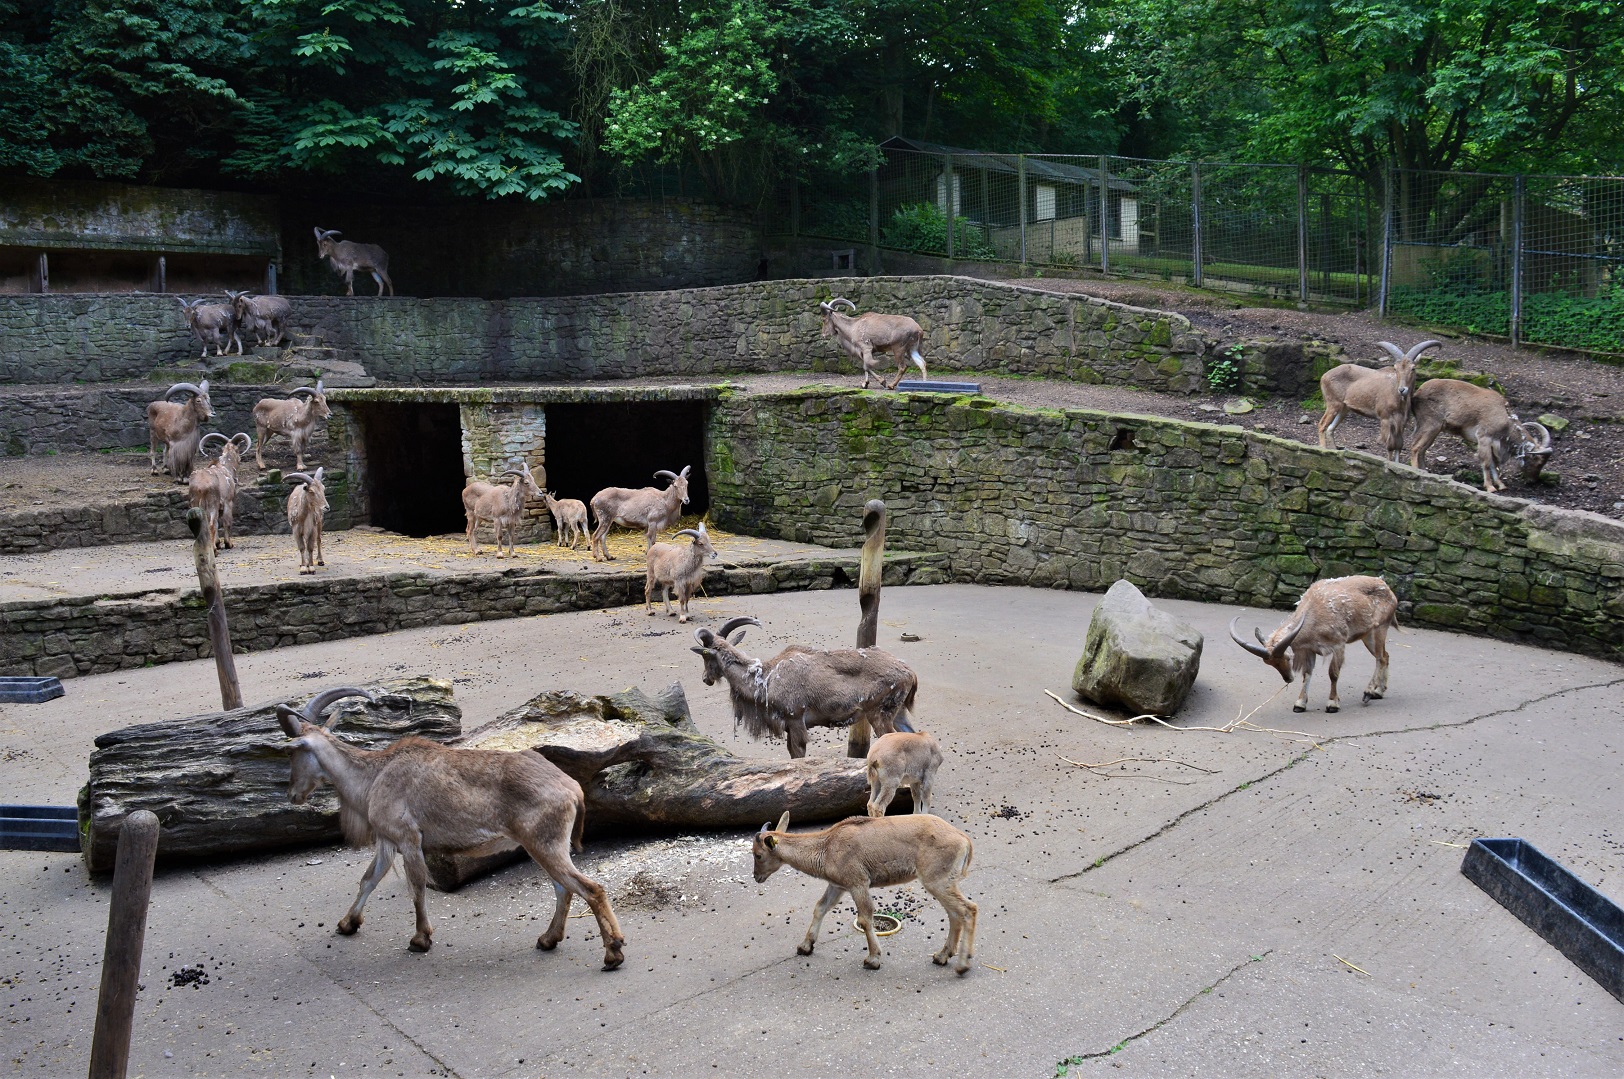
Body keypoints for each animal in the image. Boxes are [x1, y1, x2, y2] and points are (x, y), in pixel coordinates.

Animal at [277, 686, 625, 967]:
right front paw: (347, 924)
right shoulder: (387, 842)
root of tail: (572, 787)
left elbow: (417, 886)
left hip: (544, 844)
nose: (293, 794)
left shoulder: (408, 839)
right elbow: (368, 880)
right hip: (546, 845)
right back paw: (548, 940)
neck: (374, 775)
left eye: (292, 750)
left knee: (590, 889)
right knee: (563, 889)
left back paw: (613, 952)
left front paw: (420, 939)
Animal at [690, 616, 918, 759]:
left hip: (879, 714)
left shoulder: (796, 720)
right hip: (898, 713)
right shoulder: (789, 727)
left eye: (705, 656)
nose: (705, 679)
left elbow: (798, 754)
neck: (766, 677)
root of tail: (909, 672)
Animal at [752, 810, 976, 974]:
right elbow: (820, 908)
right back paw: (942, 956)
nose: (756, 877)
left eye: (758, 855)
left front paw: (873, 959)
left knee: (968, 909)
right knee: (955, 913)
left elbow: (865, 918)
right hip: (944, 882)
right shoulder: (838, 886)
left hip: (937, 880)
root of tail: (964, 840)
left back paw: (962, 964)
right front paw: (805, 946)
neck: (827, 848)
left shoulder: (858, 883)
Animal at [1228, 575, 1399, 713]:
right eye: (1270, 664)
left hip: (1380, 628)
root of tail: (1388, 589)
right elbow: (1307, 673)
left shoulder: (1338, 645)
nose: (1288, 679)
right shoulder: (1310, 649)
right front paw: (1300, 704)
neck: (1313, 613)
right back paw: (1379, 692)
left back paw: (1369, 693)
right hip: (1367, 635)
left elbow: (1333, 673)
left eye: (1288, 658)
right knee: (1385, 656)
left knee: (1380, 658)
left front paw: (1332, 704)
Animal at [1406, 378, 1553, 492]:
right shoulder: (1484, 437)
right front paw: (1490, 487)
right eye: (1537, 461)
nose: (1532, 481)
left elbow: (1494, 463)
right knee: (1415, 446)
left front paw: (1501, 485)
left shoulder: (1493, 443)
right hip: (1430, 425)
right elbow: (1486, 462)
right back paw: (1416, 471)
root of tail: (1417, 394)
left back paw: (1425, 471)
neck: (1505, 417)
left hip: (1435, 430)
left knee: (1423, 449)